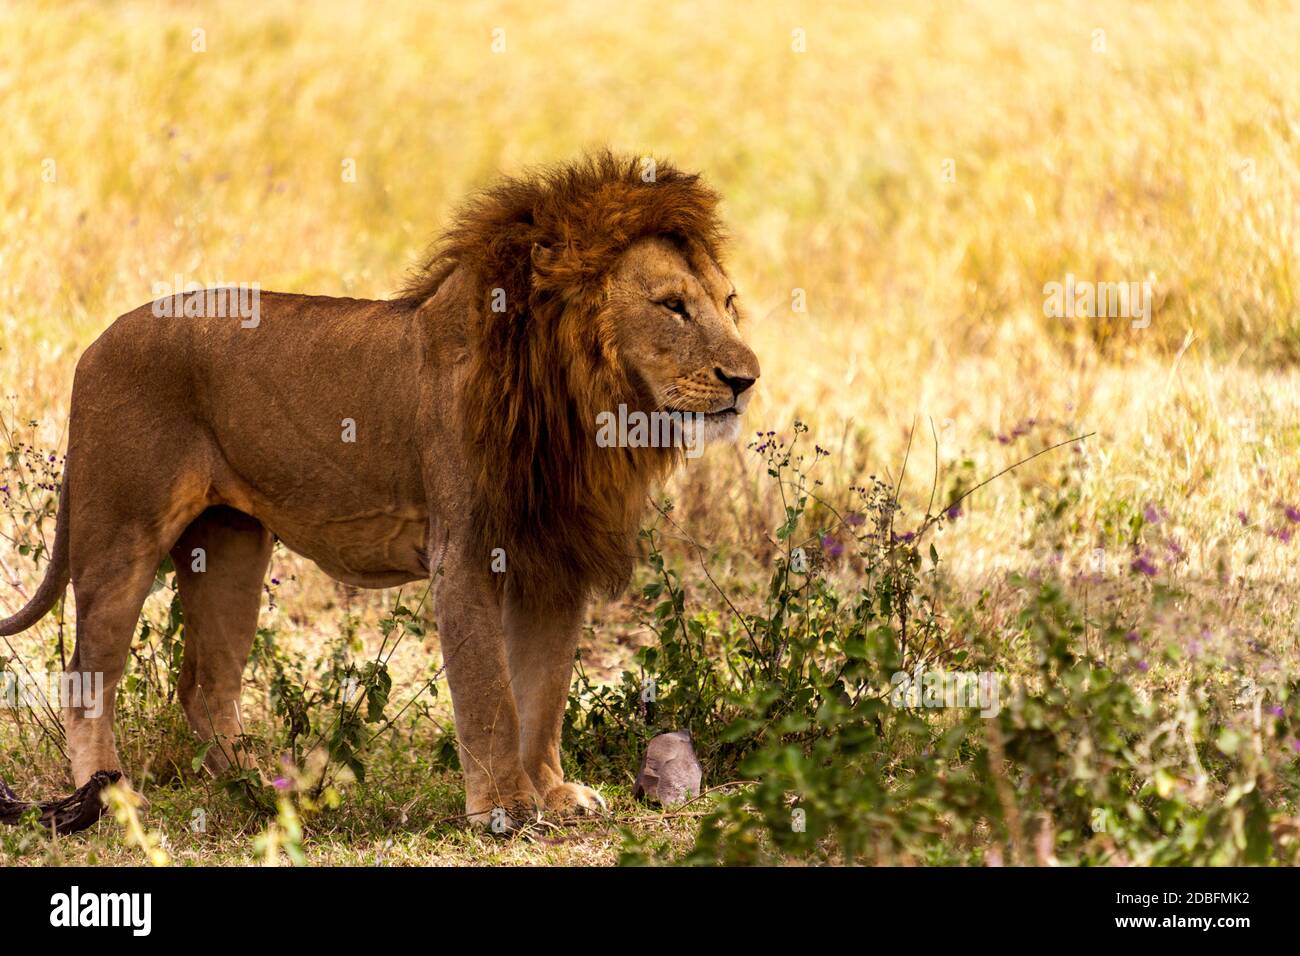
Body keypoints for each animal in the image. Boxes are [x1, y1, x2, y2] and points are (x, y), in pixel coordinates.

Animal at [0, 153, 759, 832]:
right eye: (672, 307)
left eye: (728, 305)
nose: (746, 379)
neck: (578, 401)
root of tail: (96, 341)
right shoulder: (466, 554)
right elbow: (492, 694)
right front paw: (506, 810)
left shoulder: (552, 559)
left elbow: (544, 692)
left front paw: (553, 793)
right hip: (120, 532)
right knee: (86, 674)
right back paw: (114, 799)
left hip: (229, 546)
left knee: (206, 685)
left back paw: (260, 789)